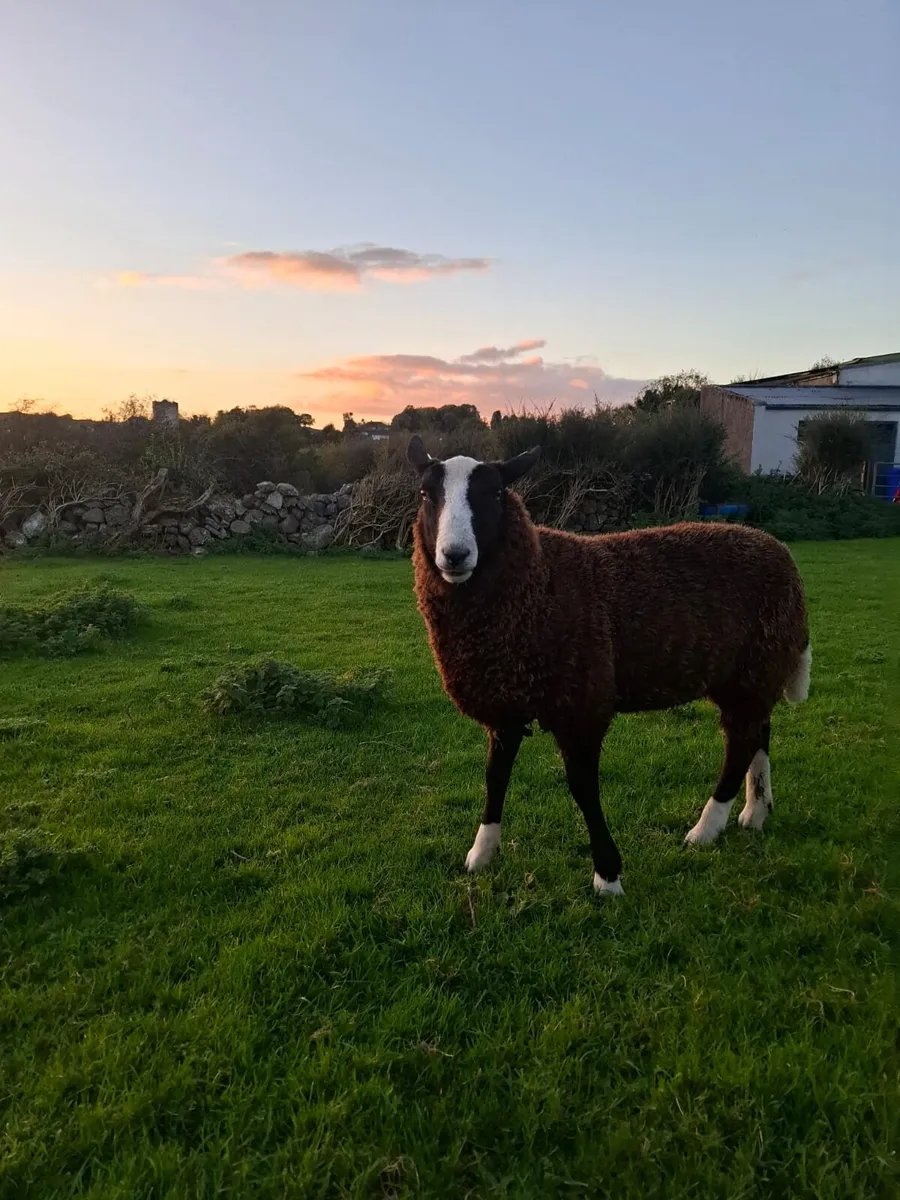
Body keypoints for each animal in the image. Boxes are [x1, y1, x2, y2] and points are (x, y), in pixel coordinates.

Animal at [407, 436, 811, 895]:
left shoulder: (581, 704)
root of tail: (778, 550)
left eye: (494, 494)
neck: (538, 582)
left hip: (754, 666)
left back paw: (706, 828)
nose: (454, 555)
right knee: (759, 731)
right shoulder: (506, 702)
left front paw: (607, 874)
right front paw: (481, 853)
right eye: (425, 494)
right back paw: (756, 811)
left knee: (741, 742)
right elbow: (495, 776)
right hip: (752, 671)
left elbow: (582, 787)